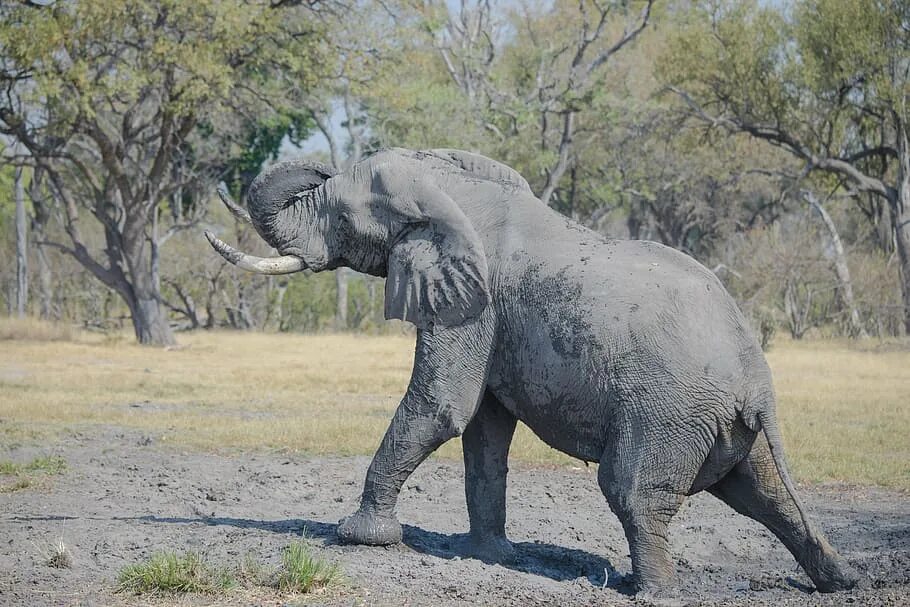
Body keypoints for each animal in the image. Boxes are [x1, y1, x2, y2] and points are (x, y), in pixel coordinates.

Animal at [208, 148, 868, 600]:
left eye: (342, 215)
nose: (322, 162)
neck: (452, 192)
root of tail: (756, 380)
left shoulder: (474, 304)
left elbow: (444, 406)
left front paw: (358, 536)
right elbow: (484, 432)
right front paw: (486, 555)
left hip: (671, 410)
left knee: (632, 490)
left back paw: (650, 593)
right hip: (726, 425)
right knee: (767, 497)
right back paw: (843, 582)